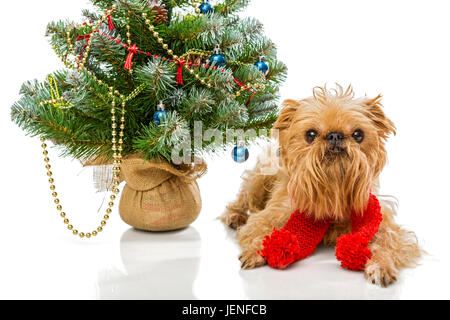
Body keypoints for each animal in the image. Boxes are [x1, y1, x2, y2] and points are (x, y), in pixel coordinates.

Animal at [221, 84, 422, 286]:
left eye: (358, 134)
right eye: (310, 134)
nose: (335, 135)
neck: (330, 195)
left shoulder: (381, 220)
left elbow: (388, 241)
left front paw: (382, 265)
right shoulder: (272, 214)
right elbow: (259, 230)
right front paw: (255, 251)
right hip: (259, 180)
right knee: (244, 196)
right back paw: (234, 215)